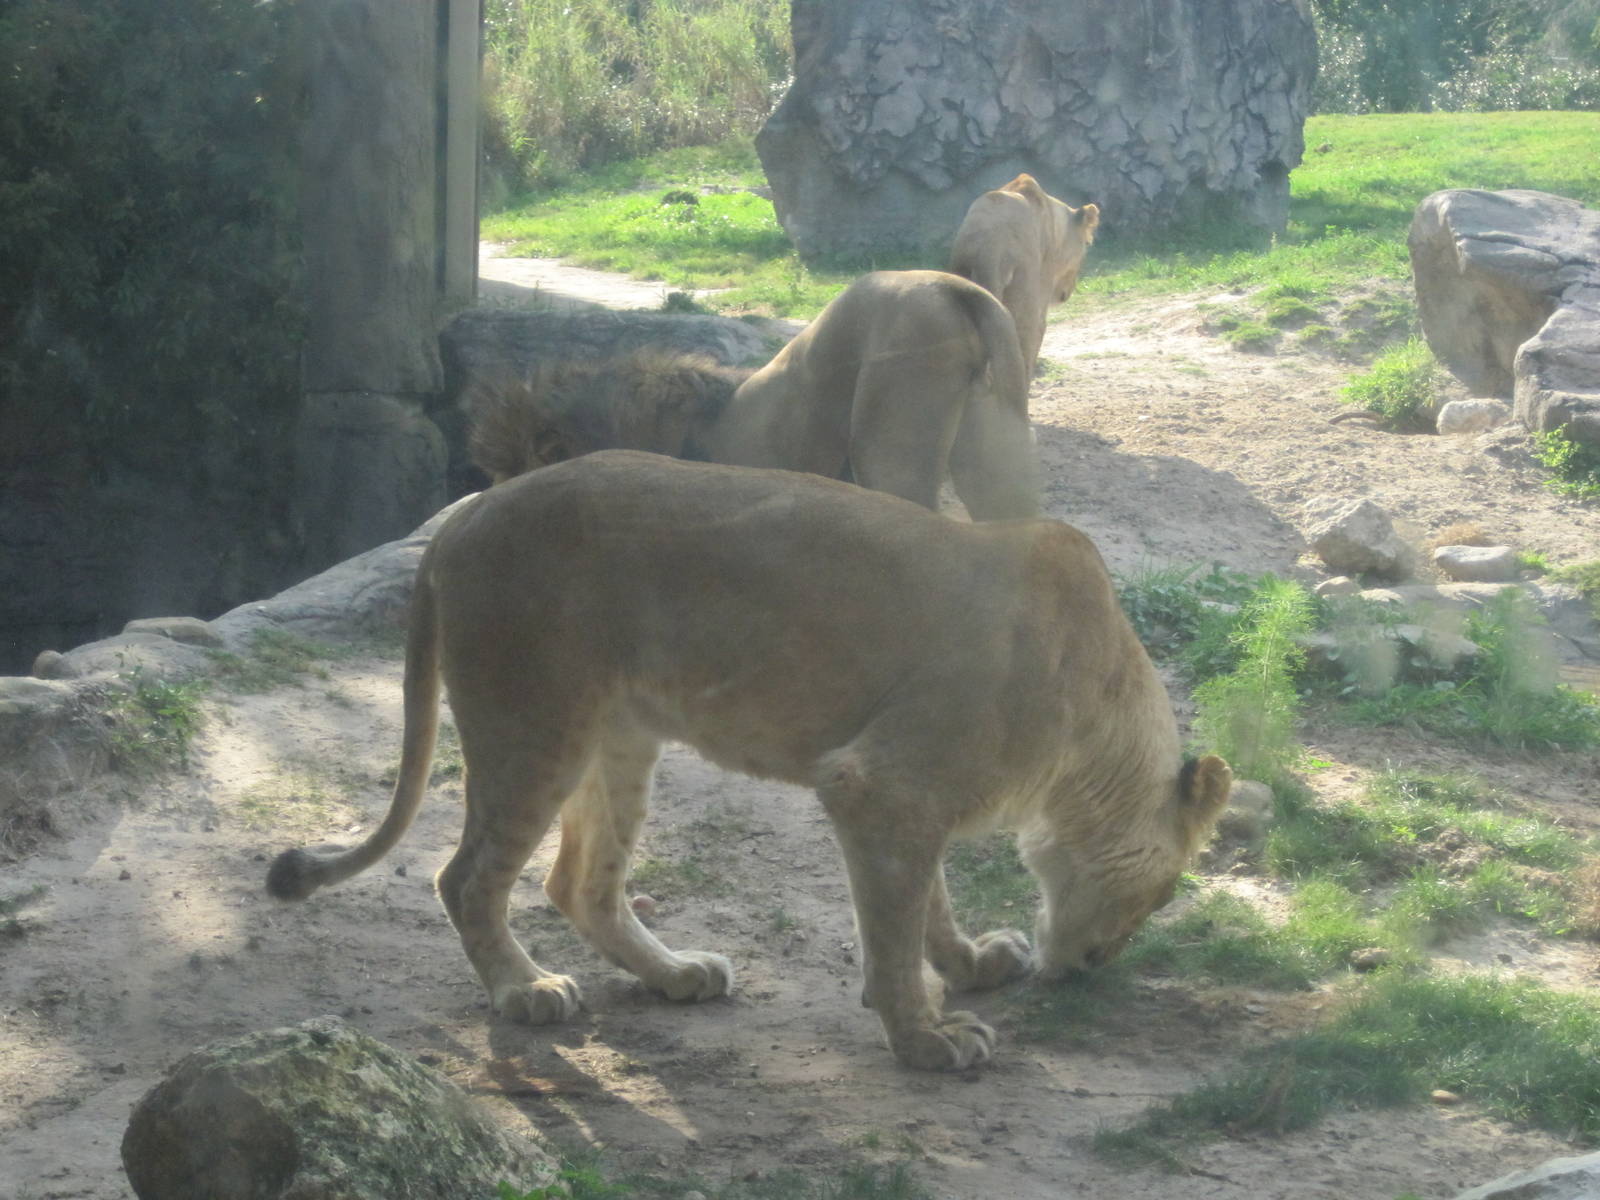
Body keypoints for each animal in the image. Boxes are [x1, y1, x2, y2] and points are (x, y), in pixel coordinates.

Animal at [267, 450, 1230, 1071]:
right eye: (1161, 895)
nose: (1095, 970)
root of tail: (463, 515)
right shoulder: (882, 781)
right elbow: (895, 920)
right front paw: (926, 1038)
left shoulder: (906, 795)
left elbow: (926, 900)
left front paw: (967, 968)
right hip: (531, 727)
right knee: (466, 877)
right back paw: (525, 991)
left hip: (616, 737)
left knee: (580, 883)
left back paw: (678, 974)